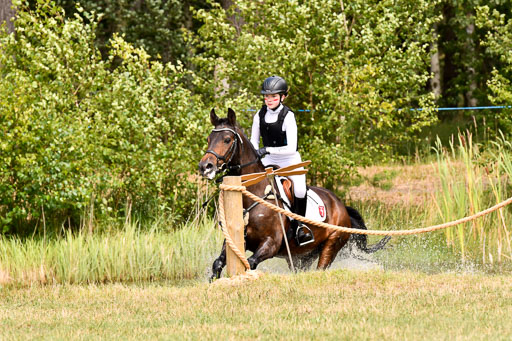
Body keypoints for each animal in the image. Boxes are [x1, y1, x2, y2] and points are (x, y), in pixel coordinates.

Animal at [199, 107, 388, 278]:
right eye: (209, 139)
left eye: (227, 139)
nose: (205, 167)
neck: (255, 196)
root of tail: (341, 205)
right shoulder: (236, 240)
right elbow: (217, 264)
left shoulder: (271, 244)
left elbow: (251, 263)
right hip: (302, 256)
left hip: (331, 244)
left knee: (321, 267)